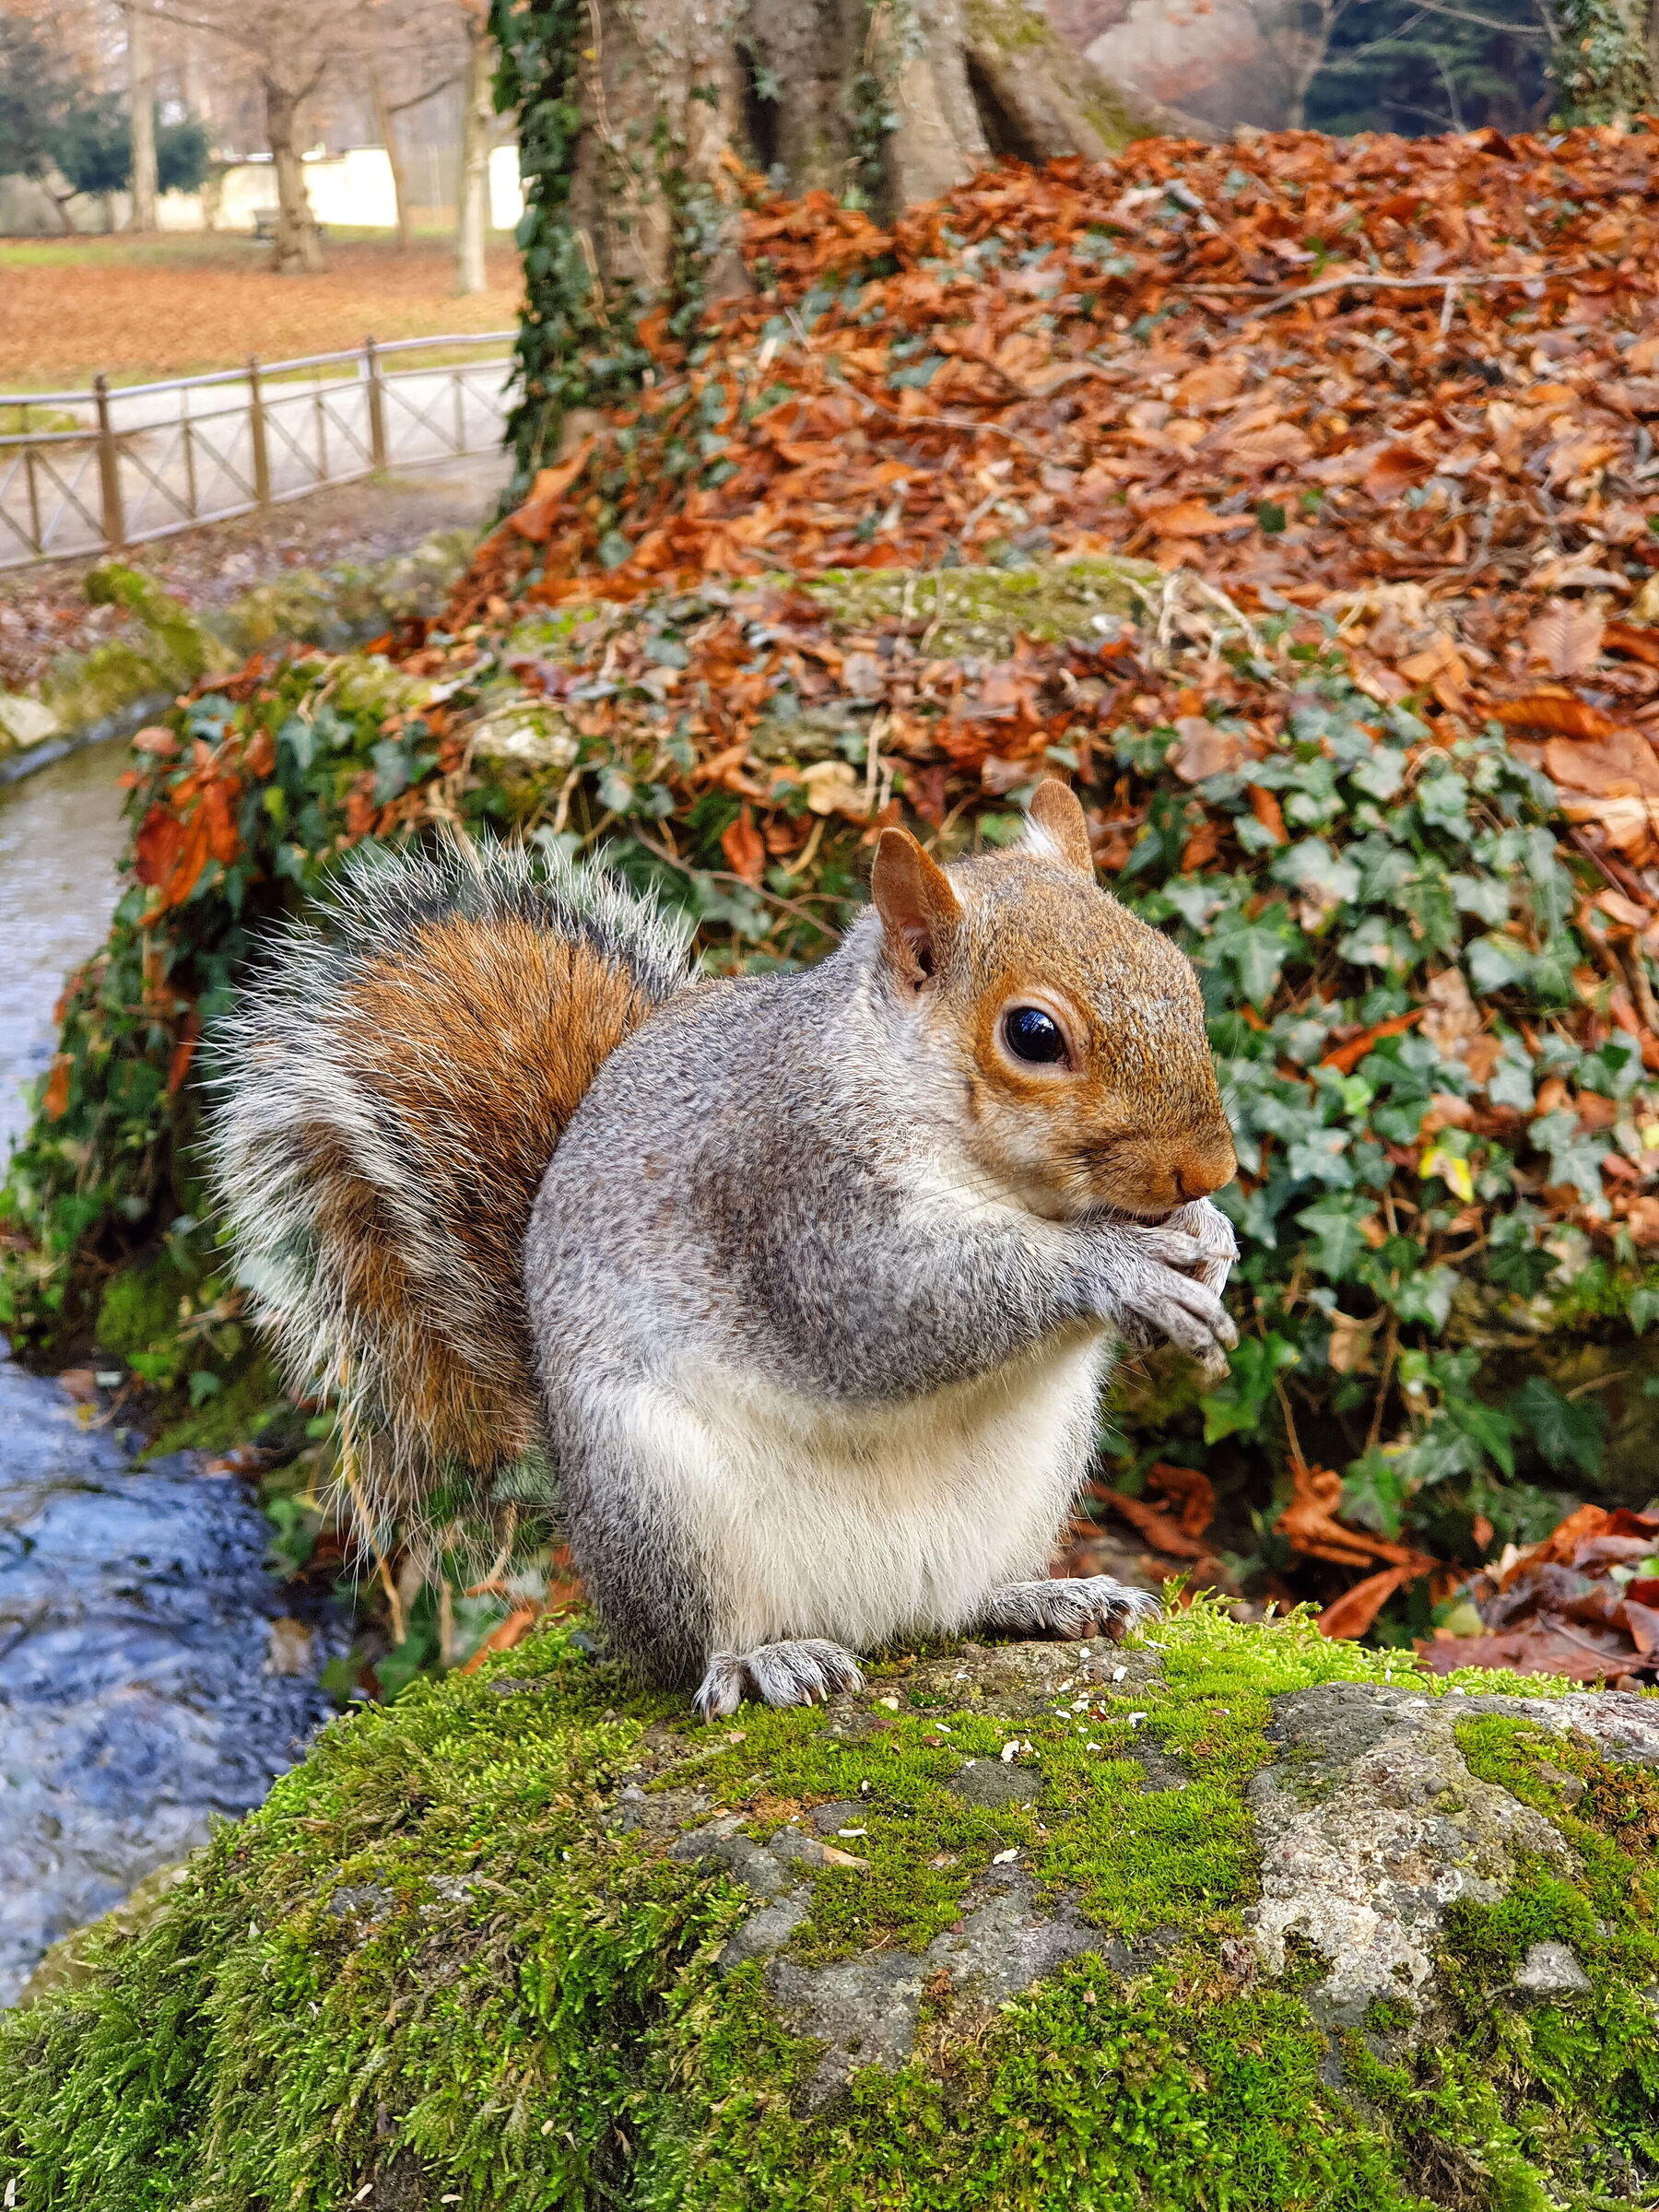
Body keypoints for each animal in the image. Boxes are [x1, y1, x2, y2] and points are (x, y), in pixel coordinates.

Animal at [212, 779, 1238, 1720]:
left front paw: (1210, 1238)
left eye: (1180, 970)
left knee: (957, 1605)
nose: (1209, 1168)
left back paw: (1042, 1596)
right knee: (689, 1655)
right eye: (1033, 1034)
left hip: (1034, 1472)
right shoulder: (794, 1199)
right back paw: (762, 1661)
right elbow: (889, 1310)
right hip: (662, 1499)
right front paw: (1118, 1268)